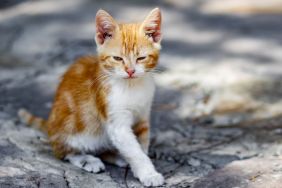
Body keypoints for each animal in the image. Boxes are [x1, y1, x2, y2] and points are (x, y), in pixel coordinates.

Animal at [18, 7, 163, 187]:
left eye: (141, 58)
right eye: (117, 58)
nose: (130, 71)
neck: (131, 86)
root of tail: (51, 127)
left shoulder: (143, 115)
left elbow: (141, 145)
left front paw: (144, 167)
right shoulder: (115, 121)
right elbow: (134, 150)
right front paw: (148, 173)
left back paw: (117, 156)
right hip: (74, 129)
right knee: (62, 151)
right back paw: (87, 160)